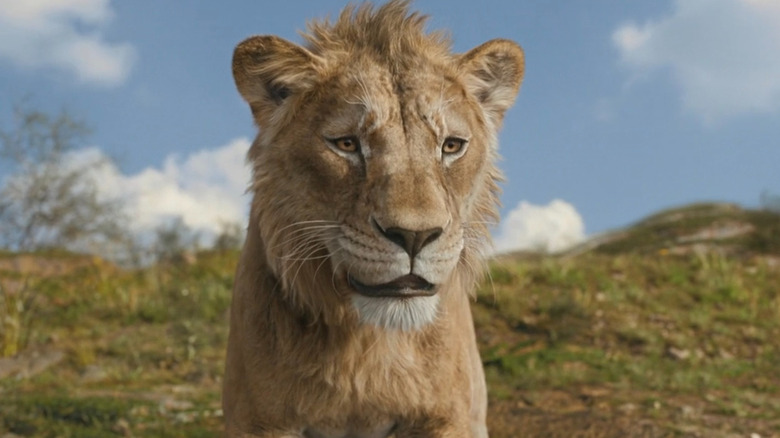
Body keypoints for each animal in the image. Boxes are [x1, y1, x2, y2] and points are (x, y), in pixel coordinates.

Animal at [222, 1, 524, 437]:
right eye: (347, 144)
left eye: (451, 146)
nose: (415, 236)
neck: (368, 348)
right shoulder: (258, 421)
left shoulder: (448, 417)